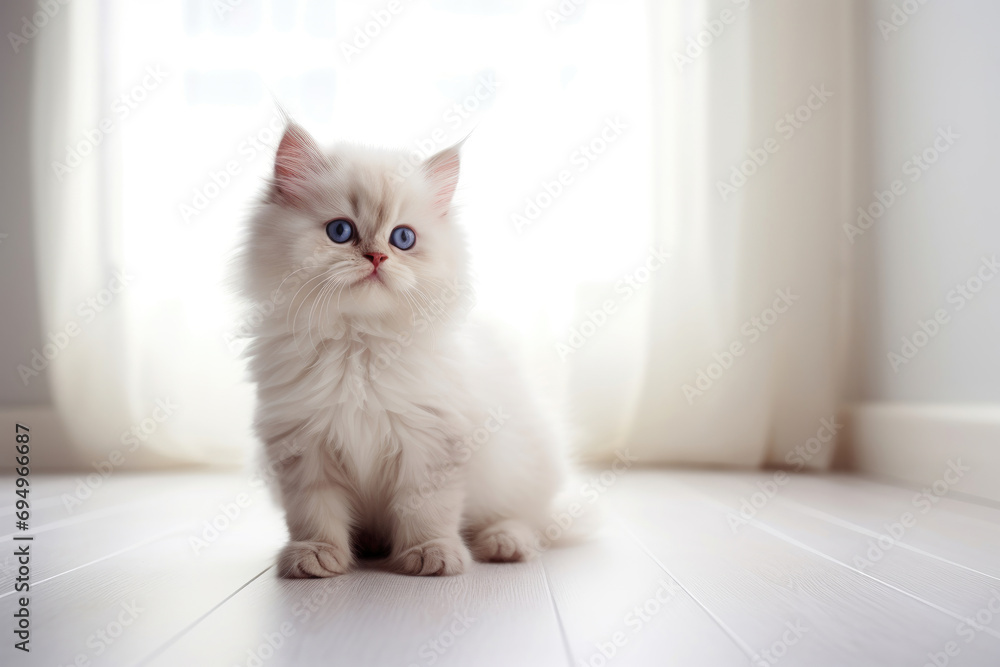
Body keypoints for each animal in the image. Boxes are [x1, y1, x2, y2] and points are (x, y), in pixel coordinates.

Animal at [235, 122, 576, 576]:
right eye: (340, 232)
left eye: (403, 238)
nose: (377, 257)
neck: (358, 343)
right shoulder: (304, 446)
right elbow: (315, 514)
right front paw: (317, 556)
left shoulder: (430, 443)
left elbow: (427, 510)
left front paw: (431, 555)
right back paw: (372, 544)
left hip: (516, 466)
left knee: (522, 519)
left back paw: (504, 543)